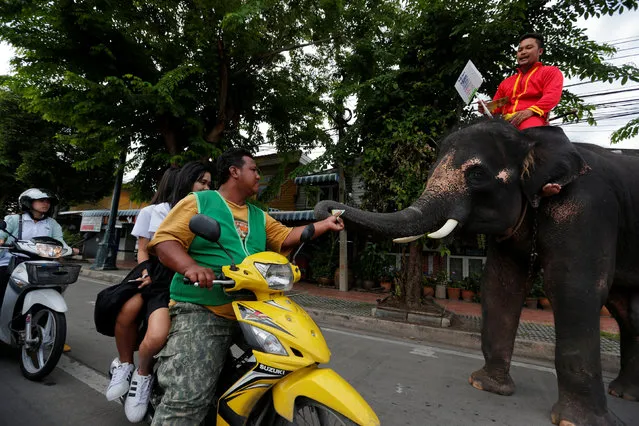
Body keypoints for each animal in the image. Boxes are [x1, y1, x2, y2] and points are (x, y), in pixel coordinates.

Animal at [316, 119, 639, 426]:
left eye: (477, 175)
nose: (333, 213)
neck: (530, 142)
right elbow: (500, 284)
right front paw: (487, 386)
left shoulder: (587, 210)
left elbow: (574, 289)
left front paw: (575, 421)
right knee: (626, 311)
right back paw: (624, 393)